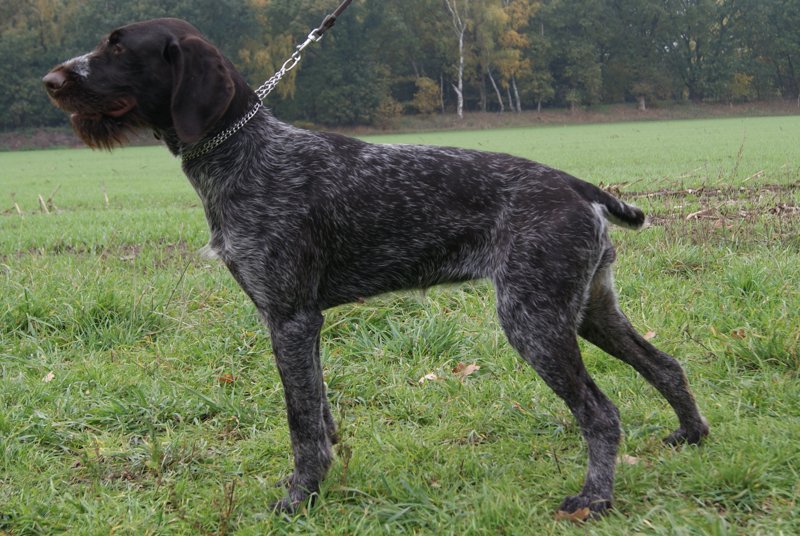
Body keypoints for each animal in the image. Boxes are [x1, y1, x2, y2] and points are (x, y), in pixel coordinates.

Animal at [43, 18, 708, 516]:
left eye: (119, 48)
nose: (50, 80)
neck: (242, 153)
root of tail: (576, 186)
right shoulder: (296, 322)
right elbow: (319, 410)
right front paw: (320, 477)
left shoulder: (289, 317)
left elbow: (301, 422)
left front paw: (300, 499)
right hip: (589, 308)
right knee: (665, 365)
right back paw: (692, 436)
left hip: (534, 321)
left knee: (601, 413)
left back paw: (595, 498)